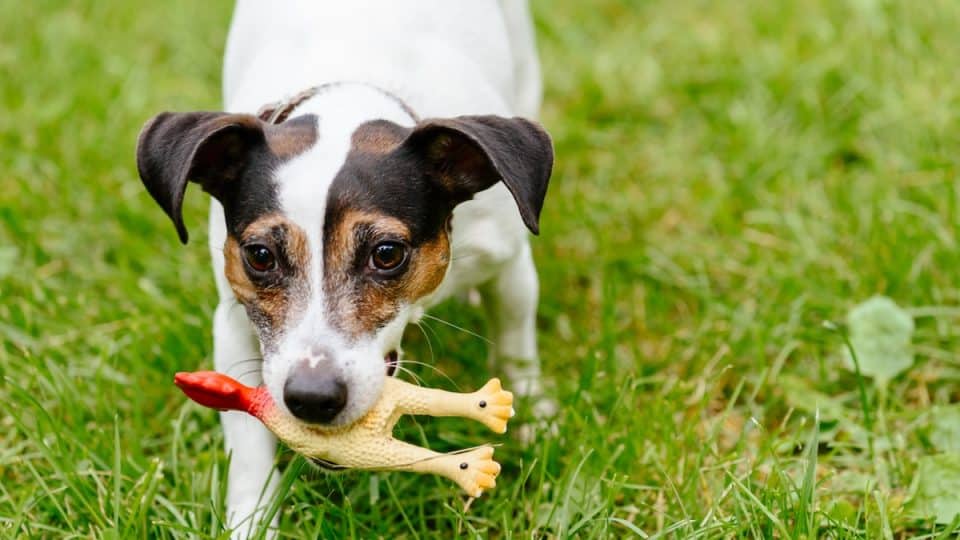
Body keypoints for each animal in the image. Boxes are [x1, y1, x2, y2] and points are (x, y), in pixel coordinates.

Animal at [136, 0, 556, 536]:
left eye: (387, 253)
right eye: (260, 255)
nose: (312, 398)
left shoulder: (508, 261)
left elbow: (515, 343)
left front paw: (533, 416)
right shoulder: (233, 319)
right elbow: (248, 443)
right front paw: (251, 520)